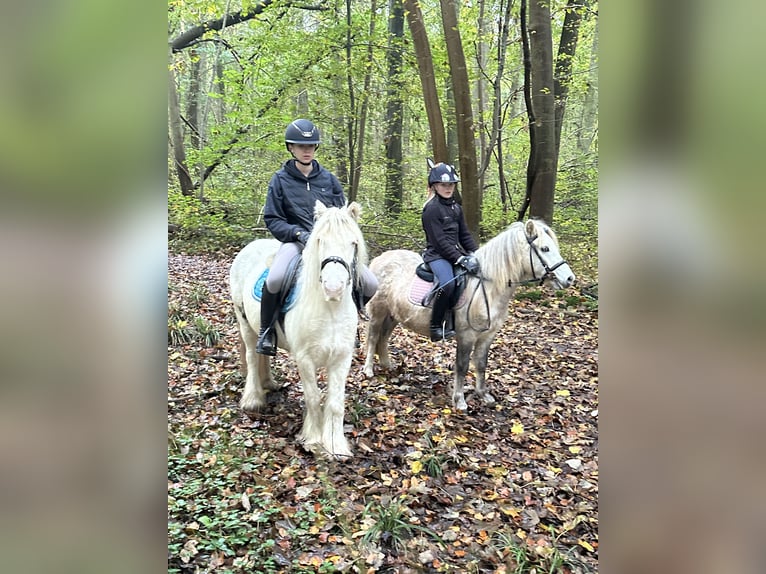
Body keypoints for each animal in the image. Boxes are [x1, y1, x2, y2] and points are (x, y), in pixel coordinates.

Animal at [230, 202, 368, 460]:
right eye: (320, 240)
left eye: (353, 242)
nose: (333, 288)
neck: (329, 308)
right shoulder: (304, 359)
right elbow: (313, 397)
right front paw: (313, 441)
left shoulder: (342, 359)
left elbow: (336, 403)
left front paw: (335, 446)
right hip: (244, 323)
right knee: (252, 357)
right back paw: (253, 398)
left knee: (262, 355)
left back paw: (268, 383)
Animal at [364, 218, 576, 412]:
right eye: (545, 248)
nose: (569, 279)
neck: (488, 286)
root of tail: (380, 258)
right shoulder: (467, 335)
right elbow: (462, 365)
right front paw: (459, 400)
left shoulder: (487, 336)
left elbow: (481, 364)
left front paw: (483, 395)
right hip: (378, 312)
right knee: (374, 338)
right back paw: (368, 370)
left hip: (393, 315)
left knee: (383, 338)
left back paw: (387, 365)